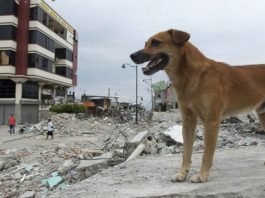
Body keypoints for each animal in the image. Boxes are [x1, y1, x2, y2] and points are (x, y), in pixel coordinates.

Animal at [129, 29, 264, 183]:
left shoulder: (211, 122)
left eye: (156, 42)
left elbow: (207, 153)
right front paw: (182, 174)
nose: (132, 55)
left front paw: (202, 175)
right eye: (145, 43)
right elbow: (186, 152)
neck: (192, 76)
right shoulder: (188, 122)